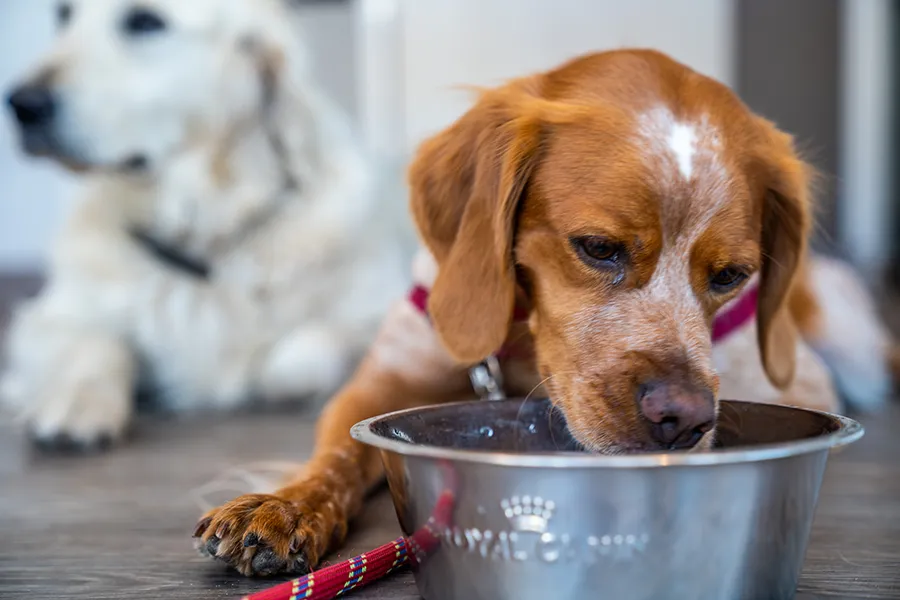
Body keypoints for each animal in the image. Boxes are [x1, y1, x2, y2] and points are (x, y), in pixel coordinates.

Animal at [2, 0, 412, 448]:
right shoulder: (52, 315)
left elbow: (292, 358)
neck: (203, 232)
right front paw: (78, 401)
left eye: (145, 21)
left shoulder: (379, 311)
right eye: (62, 17)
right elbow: (93, 343)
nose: (22, 103)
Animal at [190, 48, 892, 576]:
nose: (683, 420)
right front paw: (283, 506)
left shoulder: (786, 384)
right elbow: (335, 459)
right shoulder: (382, 383)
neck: (523, 345)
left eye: (730, 276)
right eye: (599, 248)